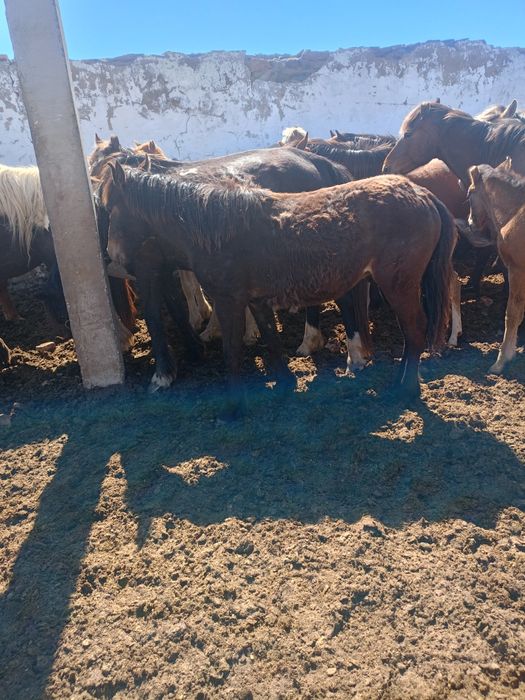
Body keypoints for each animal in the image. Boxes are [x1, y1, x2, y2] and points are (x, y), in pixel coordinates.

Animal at [100, 161, 455, 418]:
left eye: (113, 209)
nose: (113, 256)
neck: (217, 228)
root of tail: (423, 195)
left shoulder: (228, 301)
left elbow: (231, 350)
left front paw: (234, 407)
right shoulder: (255, 300)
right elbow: (271, 339)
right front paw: (286, 384)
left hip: (399, 285)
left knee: (414, 331)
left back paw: (406, 388)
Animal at [467, 161, 525, 373]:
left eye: (469, 193)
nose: (471, 223)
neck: (515, 212)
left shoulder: (517, 271)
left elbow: (512, 313)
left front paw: (502, 360)